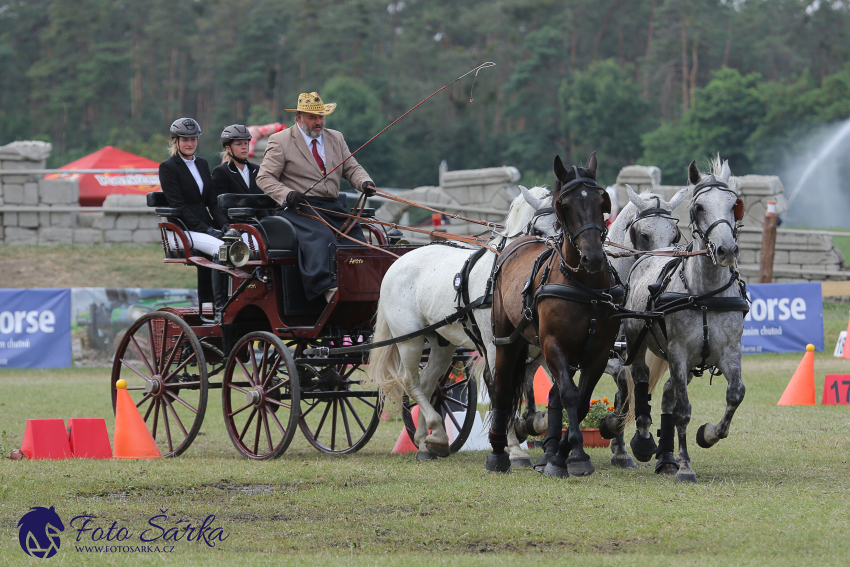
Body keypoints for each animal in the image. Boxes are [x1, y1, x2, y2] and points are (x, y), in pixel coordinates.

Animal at [368, 186, 560, 462]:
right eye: (539, 232)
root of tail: (397, 263)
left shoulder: (539, 347)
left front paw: (533, 425)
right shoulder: (495, 346)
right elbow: (502, 389)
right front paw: (514, 447)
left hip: (442, 344)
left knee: (427, 383)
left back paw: (426, 442)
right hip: (409, 339)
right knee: (410, 381)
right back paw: (436, 432)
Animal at [486, 153, 620, 478]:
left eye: (601, 202)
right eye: (566, 205)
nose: (593, 257)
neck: (584, 285)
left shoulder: (597, 352)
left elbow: (580, 401)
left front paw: (561, 453)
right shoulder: (552, 345)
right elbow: (570, 395)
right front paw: (573, 455)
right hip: (506, 339)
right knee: (501, 388)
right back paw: (498, 452)